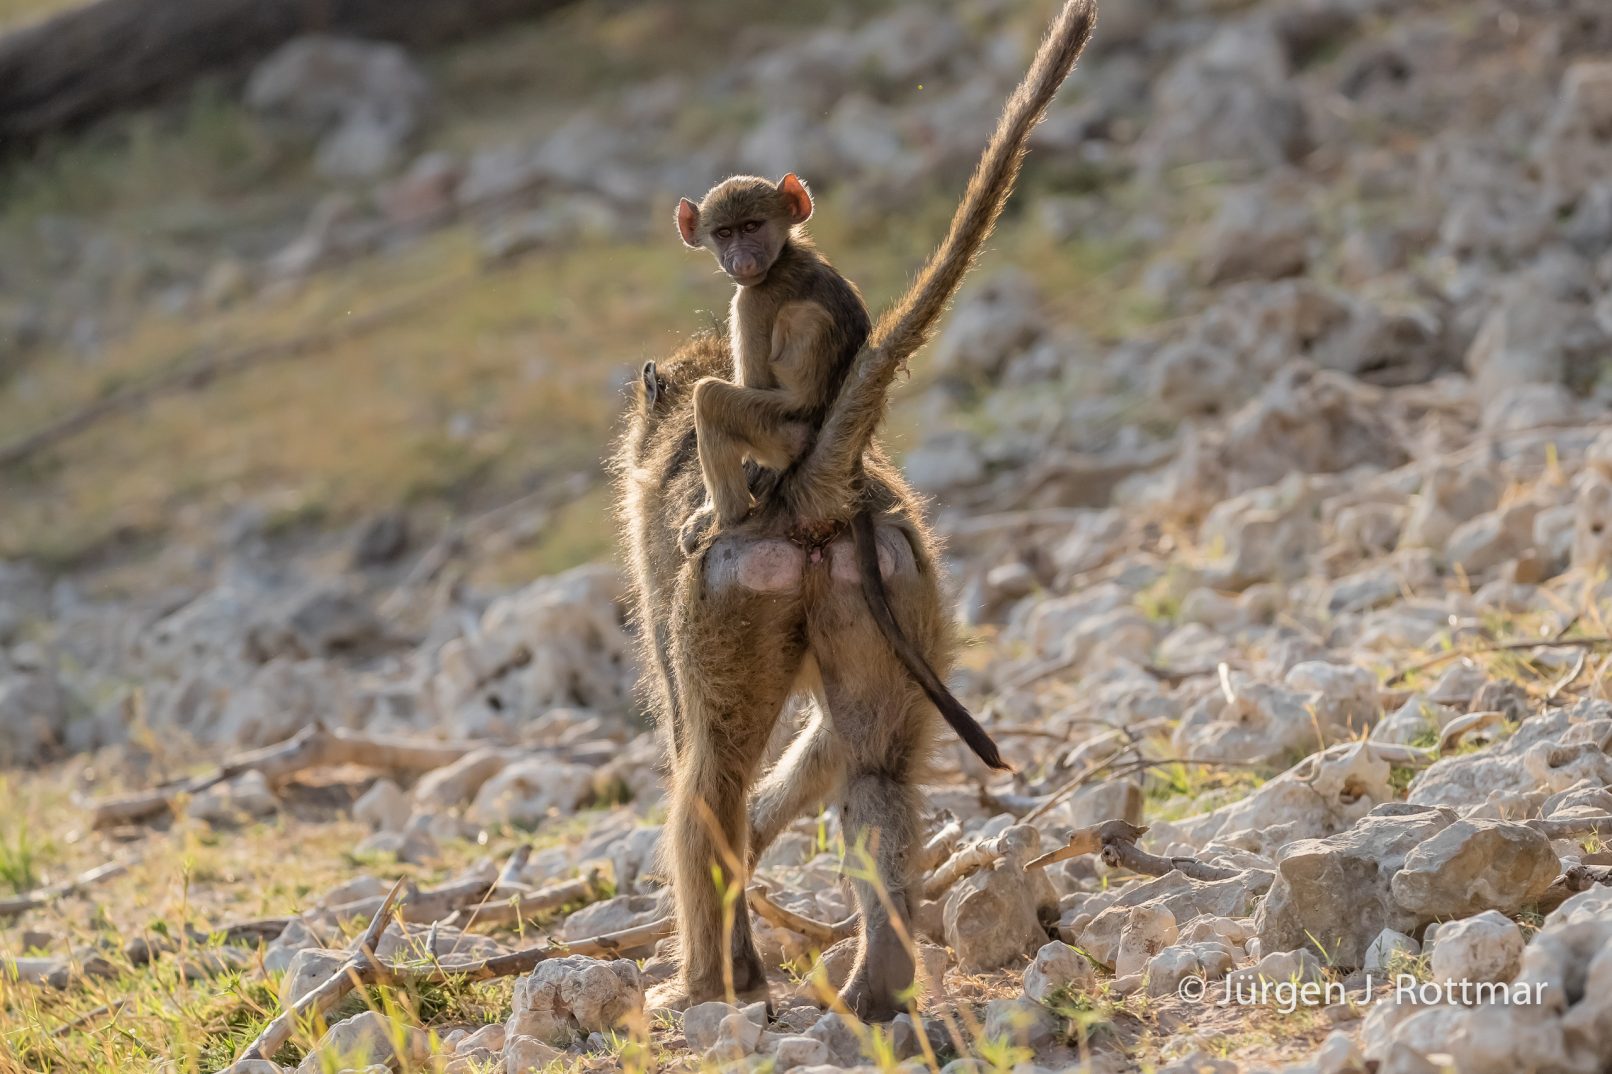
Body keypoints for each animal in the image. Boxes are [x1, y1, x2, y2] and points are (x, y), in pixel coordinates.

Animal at [613, 0, 1097, 1021]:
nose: (742, 251)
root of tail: (814, 494)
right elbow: (839, 750)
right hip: (887, 579)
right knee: (873, 766)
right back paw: (879, 983)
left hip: (737, 589)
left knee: (707, 773)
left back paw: (705, 984)